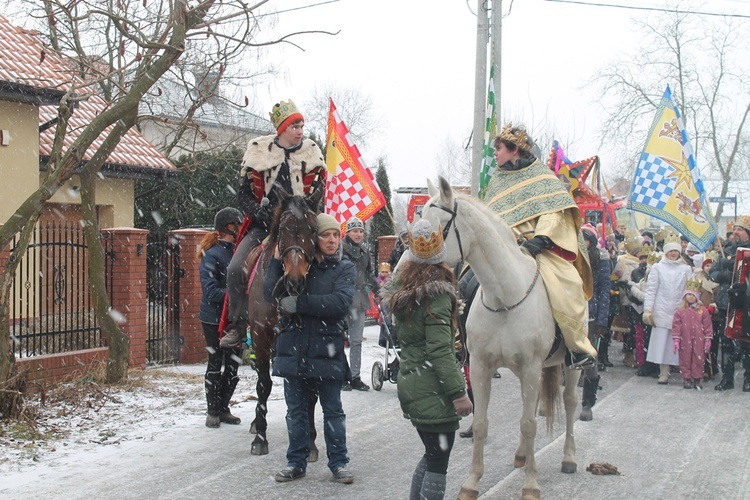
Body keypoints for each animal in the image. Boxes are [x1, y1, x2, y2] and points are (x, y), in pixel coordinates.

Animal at [248, 190, 322, 458]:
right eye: (283, 228)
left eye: (313, 229)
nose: (295, 280)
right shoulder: (260, 336)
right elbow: (263, 385)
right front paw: (260, 437)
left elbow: (310, 391)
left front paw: (310, 441)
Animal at [426, 176, 584, 500]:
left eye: (437, 228)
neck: (505, 298)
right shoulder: (481, 366)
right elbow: (481, 423)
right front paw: (471, 483)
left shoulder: (532, 367)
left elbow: (529, 424)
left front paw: (530, 485)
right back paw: (522, 455)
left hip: (571, 364)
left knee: (570, 402)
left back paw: (568, 457)